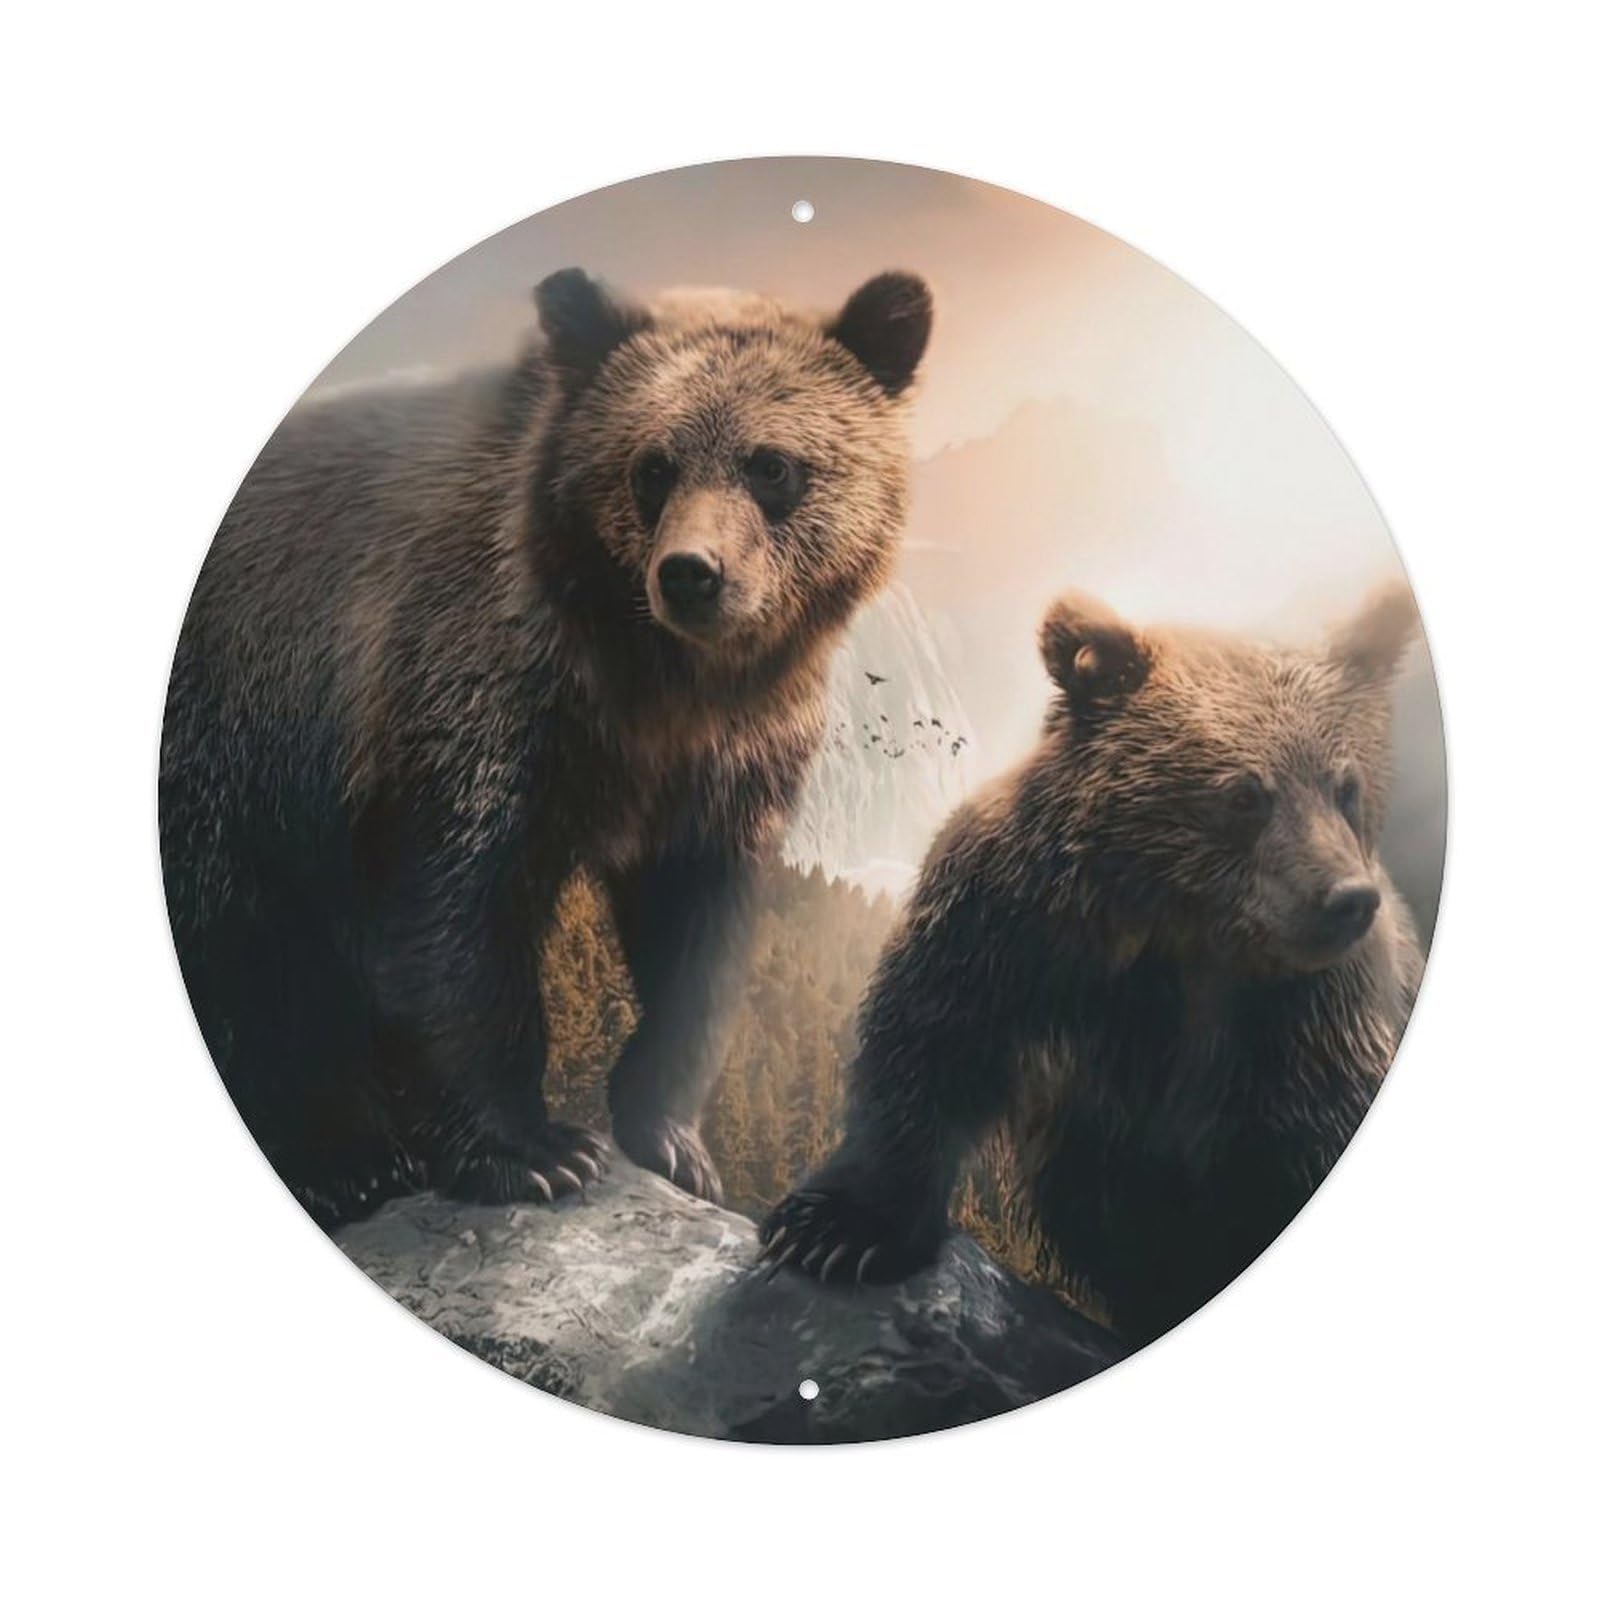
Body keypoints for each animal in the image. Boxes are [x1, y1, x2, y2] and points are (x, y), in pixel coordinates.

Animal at [159, 266, 934, 1229]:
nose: (692, 574)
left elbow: (697, 932)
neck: (655, 681)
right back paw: (347, 1158)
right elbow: (451, 912)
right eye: (651, 466)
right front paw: (536, 1151)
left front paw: (674, 1141)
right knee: (245, 945)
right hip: (224, 742)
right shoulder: (472, 687)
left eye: (773, 465)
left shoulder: (726, 761)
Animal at [760, 585, 1423, 1346]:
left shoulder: (1307, 1016)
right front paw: (835, 1229)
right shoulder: (1012, 922)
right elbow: (928, 1040)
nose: (1348, 899)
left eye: (1346, 786)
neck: (1173, 930)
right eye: (1245, 794)